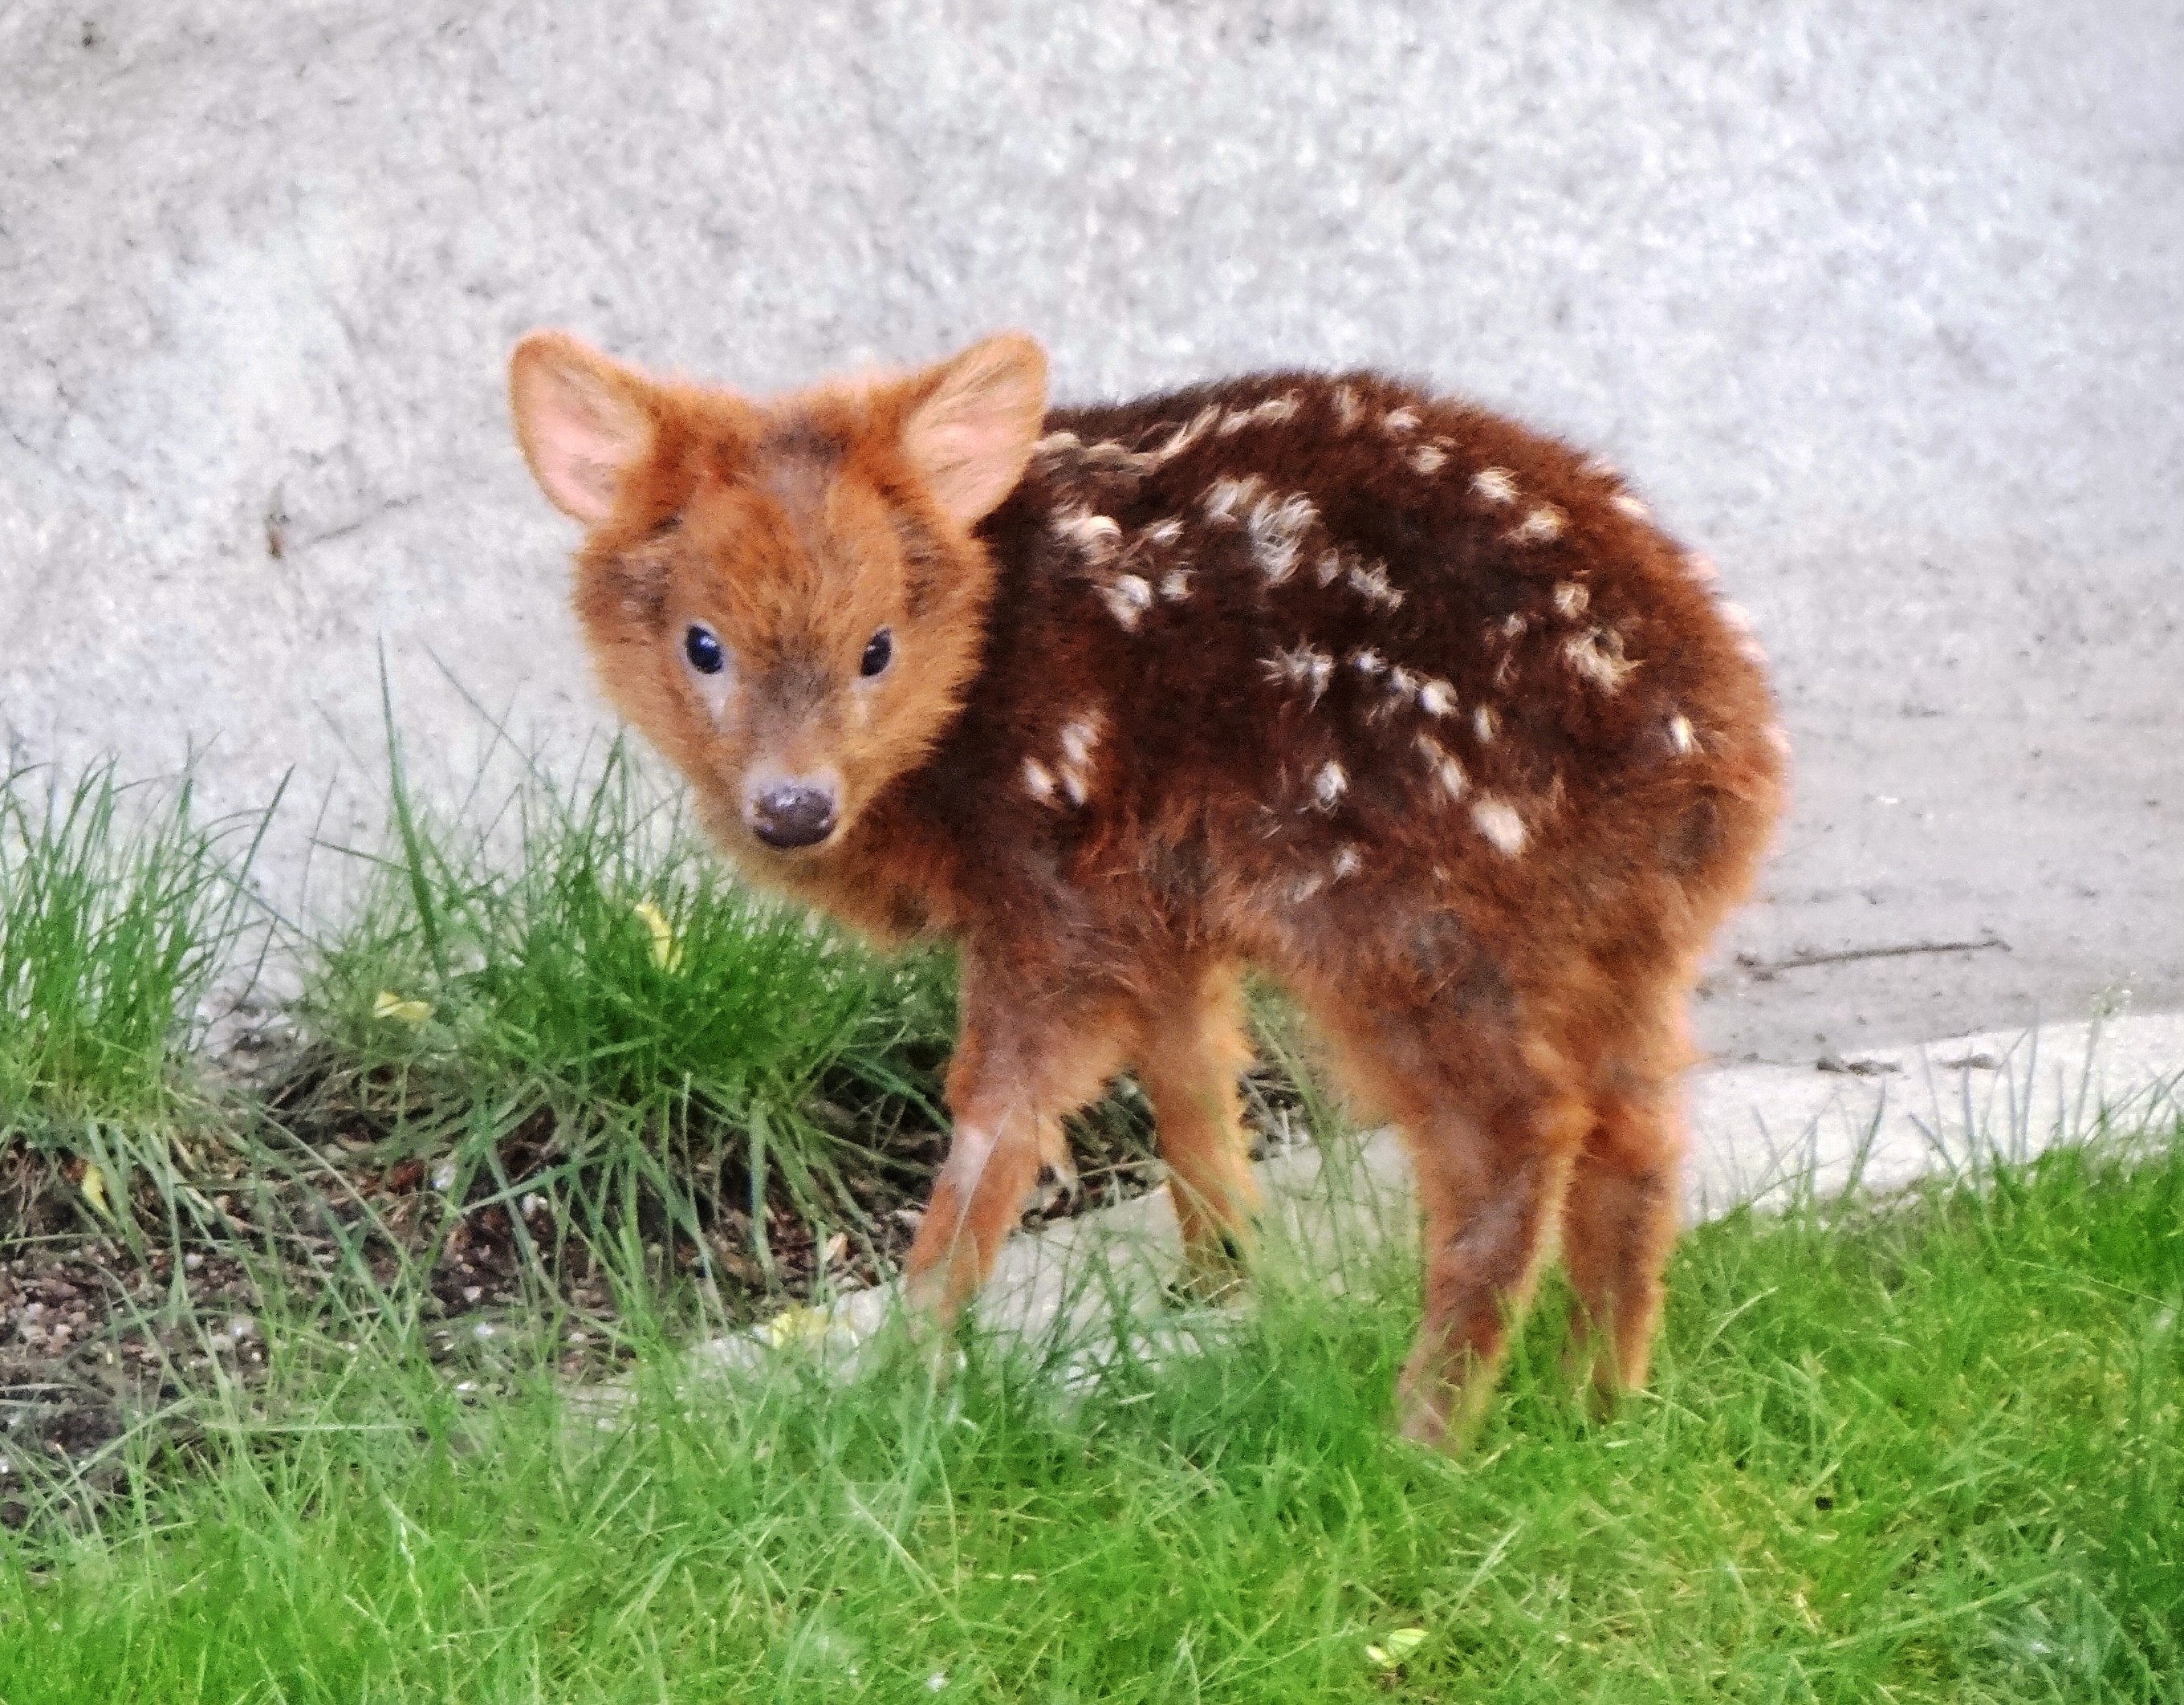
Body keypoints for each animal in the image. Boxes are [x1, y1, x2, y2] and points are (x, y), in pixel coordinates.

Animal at [515, 329, 1791, 1440]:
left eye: (876, 647)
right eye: (703, 644)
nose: (792, 809)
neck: (983, 664)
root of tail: (1713, 750)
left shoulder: (1056, 886)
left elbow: (1001, 1110)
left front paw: (908, 1359)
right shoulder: (1160, 895)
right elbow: (1187, 1066)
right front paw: (1224, 1278)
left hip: (1393, 905)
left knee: (1515, 1131)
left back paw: (1424, 1431)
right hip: (1618, 932)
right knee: (1637, 1126)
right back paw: (1600, 1405)